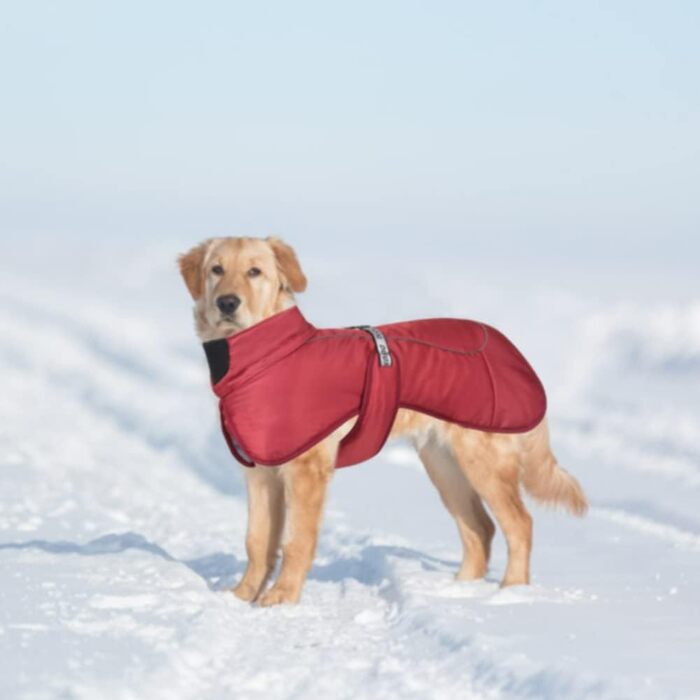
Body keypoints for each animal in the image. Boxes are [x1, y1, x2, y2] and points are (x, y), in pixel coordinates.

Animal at [178, 237, 588, 608]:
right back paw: (458, 593)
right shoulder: (261, 472)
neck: (265, 355)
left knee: (519, 524)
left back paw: (510, 595)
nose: (227, 303)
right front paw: (241, 596)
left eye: (255, 272)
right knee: (479, 528)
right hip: (443, 465)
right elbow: (257, 541)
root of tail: (509, 346)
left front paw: (282, 598)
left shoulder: (306, 470)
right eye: (217, 270)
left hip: (482, 460)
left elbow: (297, 541)